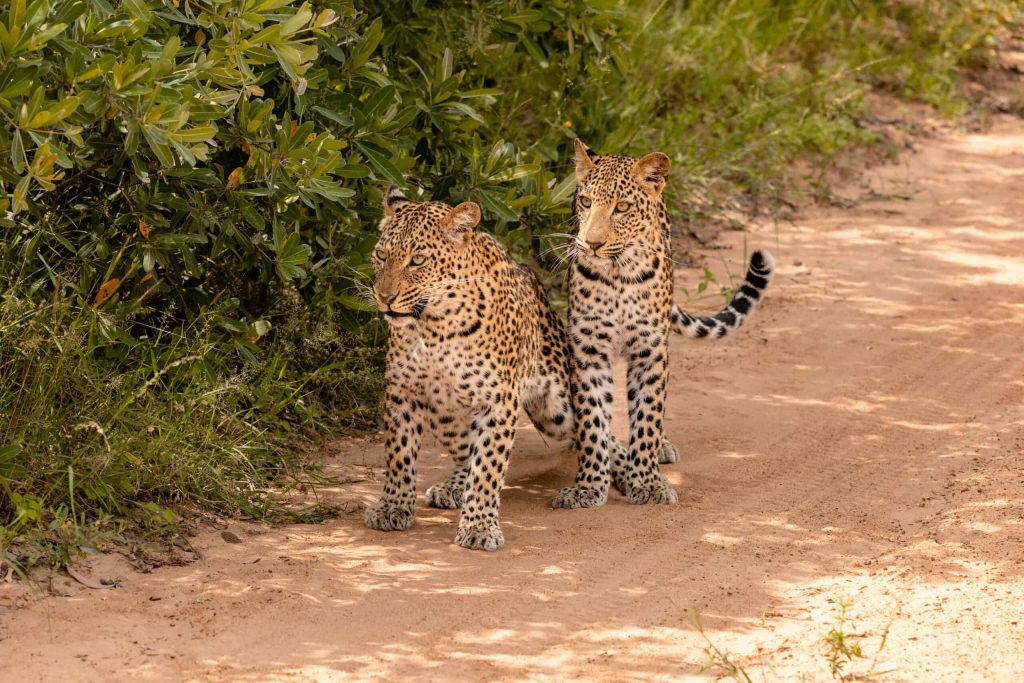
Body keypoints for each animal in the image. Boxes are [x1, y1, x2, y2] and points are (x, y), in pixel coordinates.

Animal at [362, 185, 678, 551]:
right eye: (381, 255)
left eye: (417, 260)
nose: (384, 297)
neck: (434, 326)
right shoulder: (402, 391)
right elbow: (400, 455)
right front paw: (392, 507)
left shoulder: (498, 400)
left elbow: (488, 467)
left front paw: (479, 526)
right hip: (444, 416)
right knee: (465, 452)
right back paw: (454, 485)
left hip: (558, 407)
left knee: (599, 433)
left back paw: (632, 474)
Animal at [551, 139, 775, 510]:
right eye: (585, 202)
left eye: (622, 207)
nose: (592, 244)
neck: (617, 276)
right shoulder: (589, 350)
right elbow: (593, 421)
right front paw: (588, 486)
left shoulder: (650, 350)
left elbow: (647, 415)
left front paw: (646, 481)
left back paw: (661, 446)